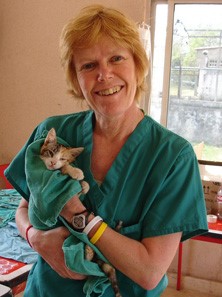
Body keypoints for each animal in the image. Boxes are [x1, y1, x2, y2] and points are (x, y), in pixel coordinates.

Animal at [40, 128, 122, 296]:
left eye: (63, 158)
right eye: (50, 153)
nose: (53, 162)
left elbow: (80, 187)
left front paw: (84, 185)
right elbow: (63, 170)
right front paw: (75, 172)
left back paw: (89, 250)